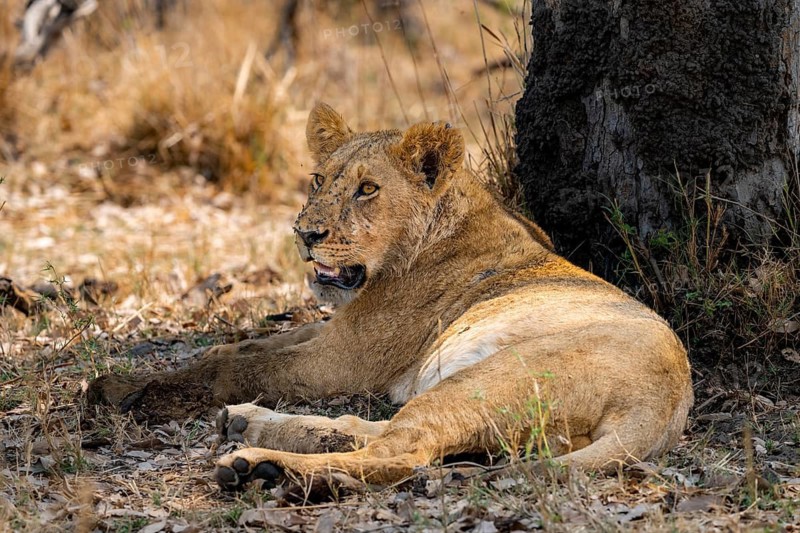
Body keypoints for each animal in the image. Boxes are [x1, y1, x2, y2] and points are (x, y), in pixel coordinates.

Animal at [88, 102, 694, 491]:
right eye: (318, 179)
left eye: (367, 189)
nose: (305, 234)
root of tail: (664, 405)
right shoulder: (340, 328)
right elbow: (247, 348)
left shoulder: (347, 358)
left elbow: (238, 369)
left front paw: (121, 390)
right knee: (377, 433)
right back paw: (248, 427)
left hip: (489, 378)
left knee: (402, 453)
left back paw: (265, 467)